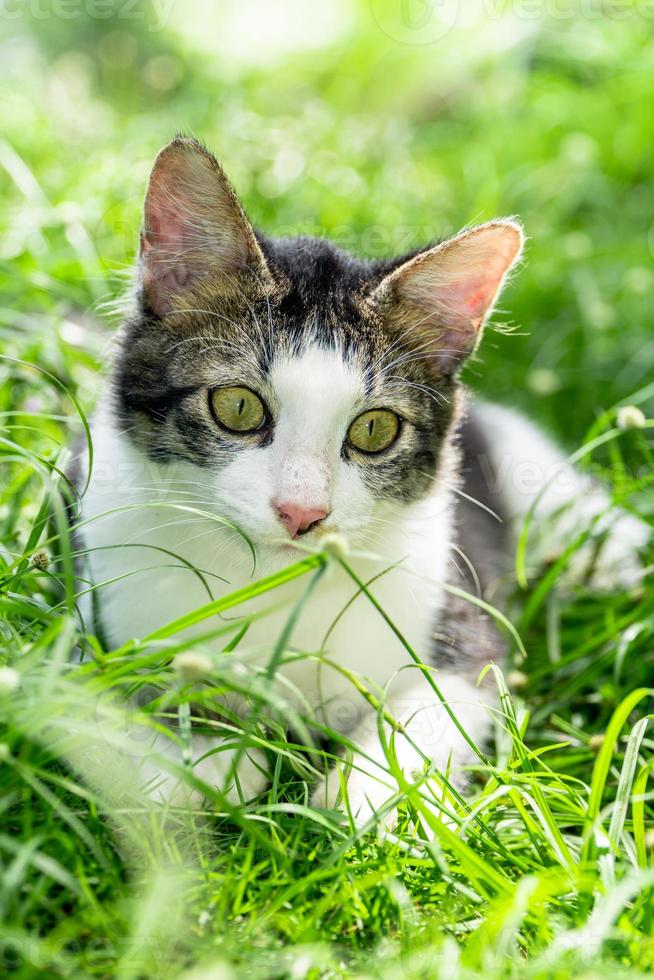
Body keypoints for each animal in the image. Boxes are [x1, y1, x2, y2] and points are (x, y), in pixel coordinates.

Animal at [75, 136, 652, 828]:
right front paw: (208, 759)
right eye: (236, 407)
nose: (302, 512)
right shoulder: (101, 619)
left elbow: (429, 714)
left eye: (374, 430)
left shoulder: (465, 634)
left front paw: (362, 799)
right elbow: (143, 713)